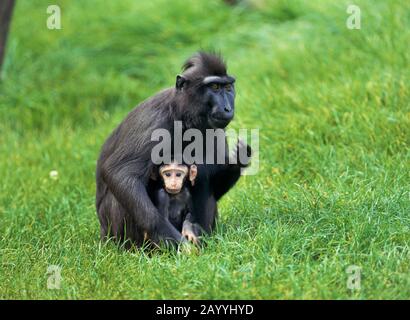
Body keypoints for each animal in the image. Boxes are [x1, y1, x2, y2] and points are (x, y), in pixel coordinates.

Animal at [96, 52, 250, 248]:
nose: (228, 108)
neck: (183, 116)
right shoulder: (155, 121)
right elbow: (120, 173)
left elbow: (212, 185)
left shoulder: (214, 129)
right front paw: (174, 241)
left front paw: (240, 158)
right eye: (214, 87)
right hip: (115, 235)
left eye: (228, 87)